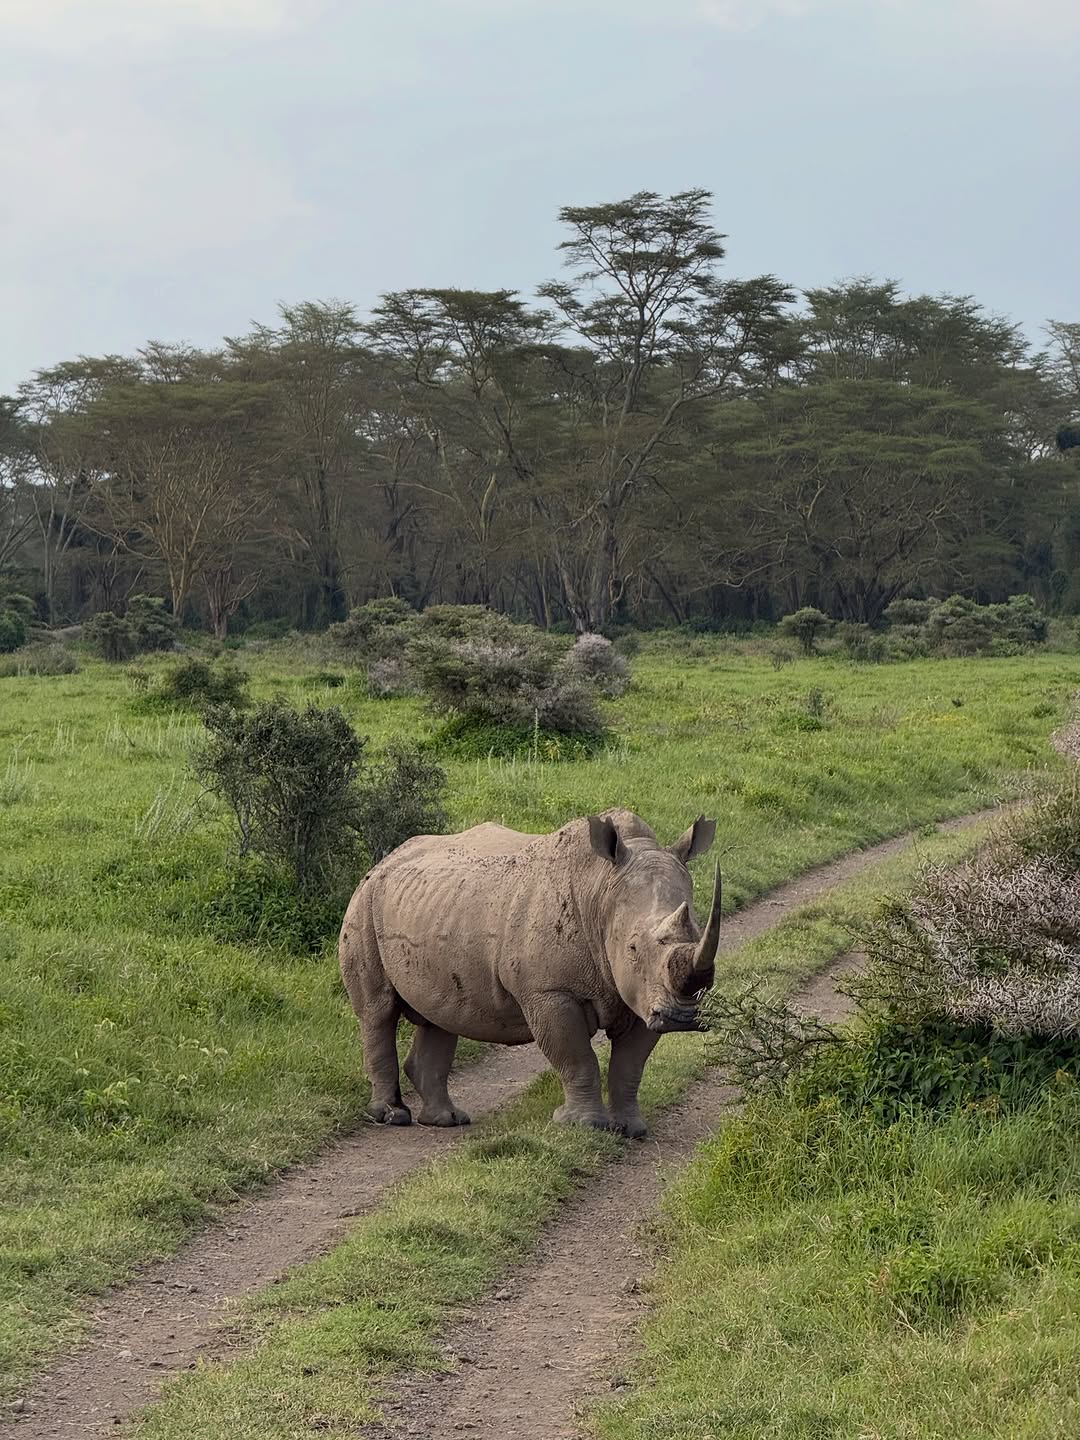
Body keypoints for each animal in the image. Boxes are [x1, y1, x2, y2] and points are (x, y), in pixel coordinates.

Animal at [338, 808, 722, 1138]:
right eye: (632, 949)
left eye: (698, 932)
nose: (683, 1017)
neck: (601, 888)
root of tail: (386, 859)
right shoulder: (549, 991)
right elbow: (577, 1058)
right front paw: (582, 1126)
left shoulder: (642, 994)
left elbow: (630, 1065)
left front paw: (630, 1129)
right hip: (365, 903)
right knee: (377, 1011)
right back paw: (391, 1116)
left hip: (433, 907)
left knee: (440, 1014)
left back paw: (446, 1120)